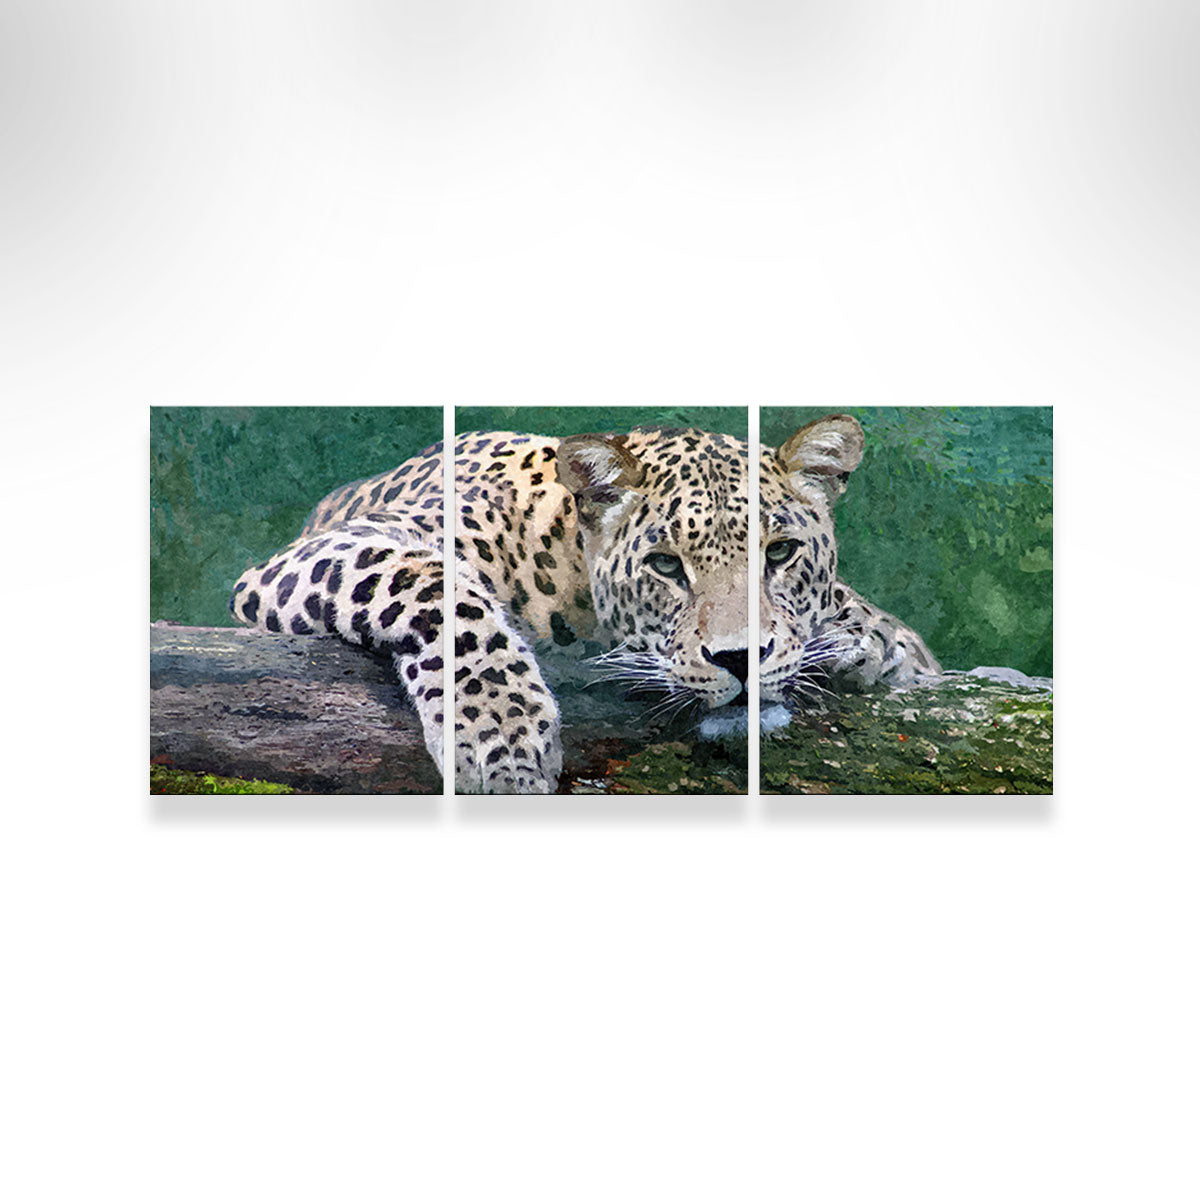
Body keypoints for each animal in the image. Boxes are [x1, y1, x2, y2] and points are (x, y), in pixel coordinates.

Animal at [229, 415, 939, 794]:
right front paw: (504, 737)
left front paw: (871, 641)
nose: (743, 659)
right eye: (665, 565)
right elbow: (442, 591)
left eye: (782, 553)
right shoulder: (333, 549)